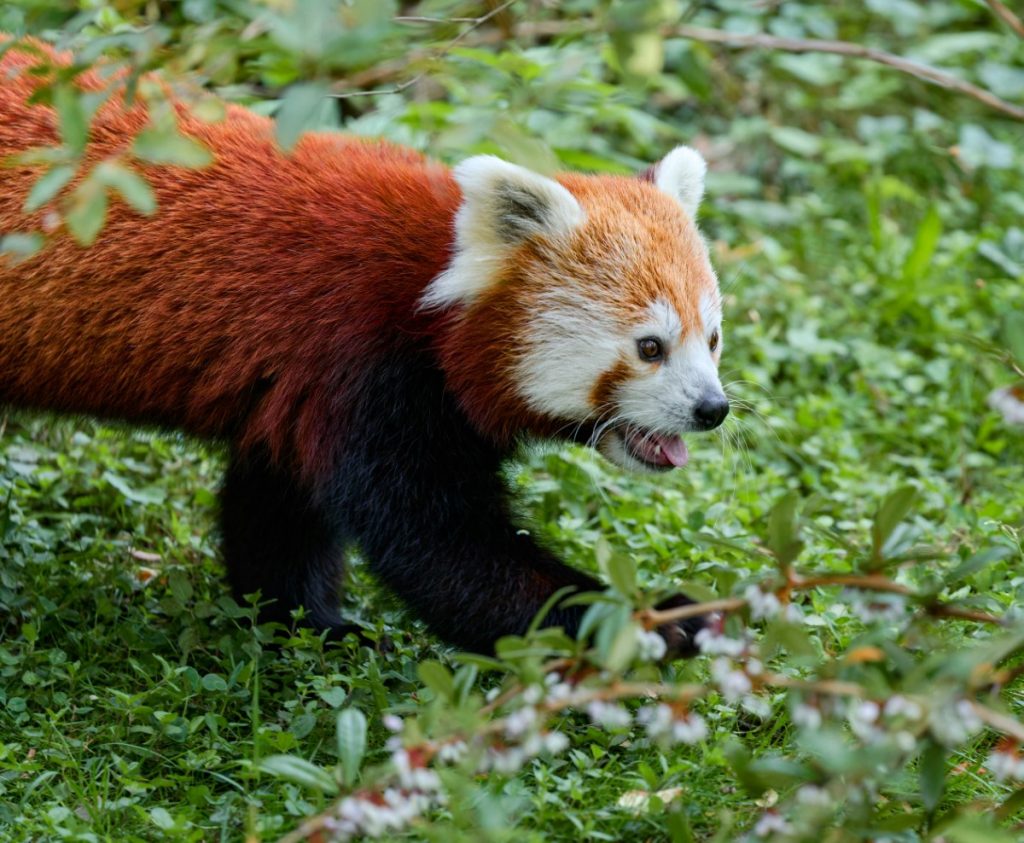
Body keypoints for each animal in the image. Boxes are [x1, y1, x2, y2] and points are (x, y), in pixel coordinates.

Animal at [0, 42, 729, 655]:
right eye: (650, 347)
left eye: (712, 339)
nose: (713, 409)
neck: (431, 285)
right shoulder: (367, 366)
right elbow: (445, 551)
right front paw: (650, 621)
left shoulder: (296, 392)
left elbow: (277, 511)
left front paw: (306, 625)